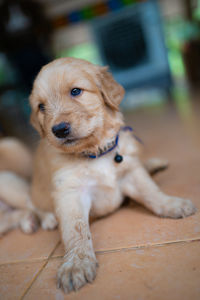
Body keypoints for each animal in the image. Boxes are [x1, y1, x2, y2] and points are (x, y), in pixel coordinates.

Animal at [29, 57, 197, 294]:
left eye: (76, 91)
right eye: (41, 107)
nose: (59, 130)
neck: (95, 152)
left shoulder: (130, 172)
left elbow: (150, 191)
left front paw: (172, 204)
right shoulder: (70, 192)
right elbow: (76, 230)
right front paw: (77, 264)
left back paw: (155, 165)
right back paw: (48, 219)